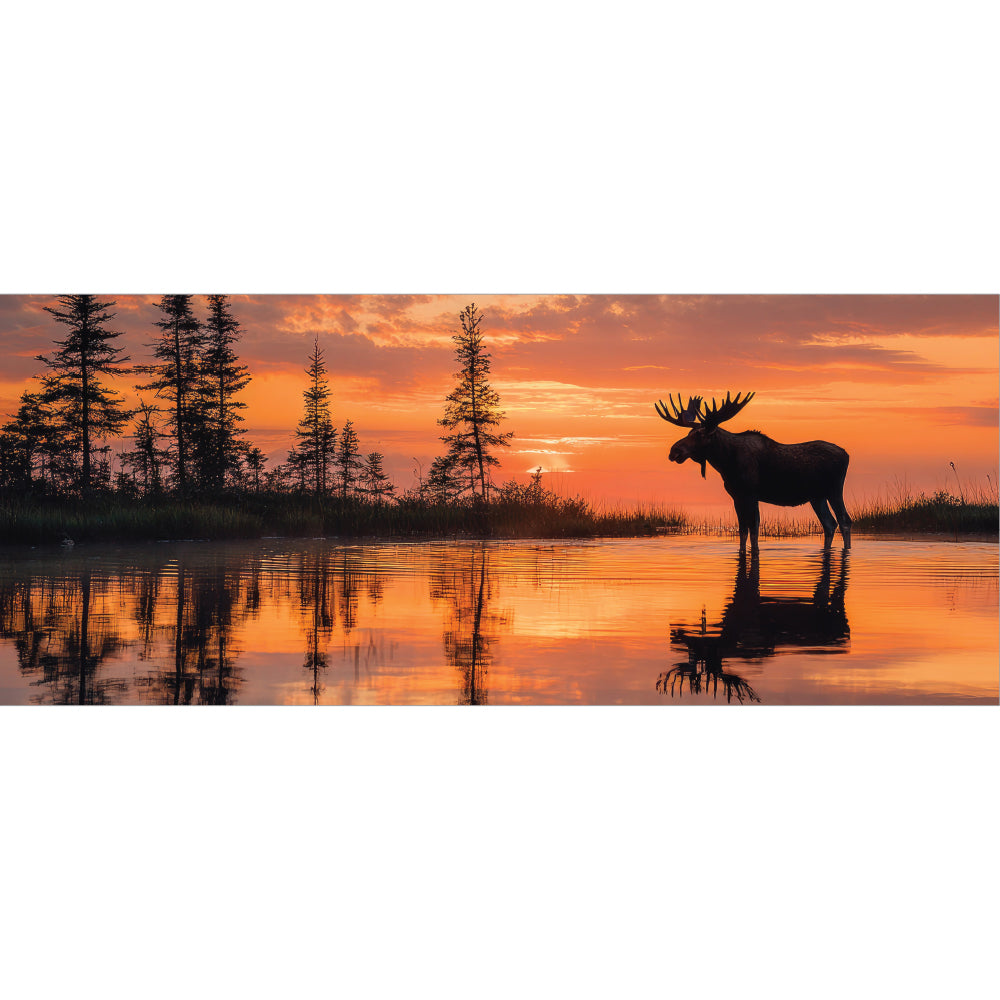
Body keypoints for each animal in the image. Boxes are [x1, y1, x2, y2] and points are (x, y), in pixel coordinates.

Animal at [655, 391, 851, 553]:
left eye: (700, 435)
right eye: (689, 432)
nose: (674, 451)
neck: (726, 464)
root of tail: (846, 454)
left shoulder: (751, 493)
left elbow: (754, 528)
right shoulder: (736, 496)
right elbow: (743, 529)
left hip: (834, 489)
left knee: (844, 520)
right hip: (816, 496)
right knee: (829, 523)